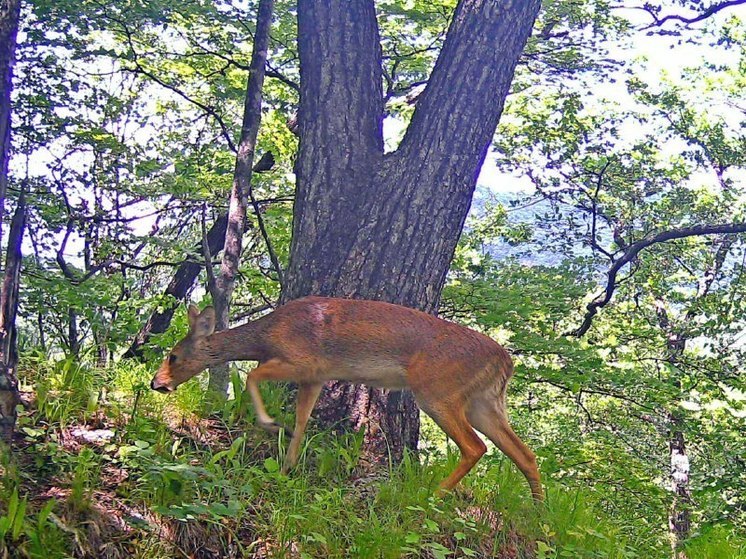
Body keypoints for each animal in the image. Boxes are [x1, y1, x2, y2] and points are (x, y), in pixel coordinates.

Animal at [151, 296, 544, 500]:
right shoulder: (315, 376)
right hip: (484, 402)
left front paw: (269, 424)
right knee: (524, 453)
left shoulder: (303, 361)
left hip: (438, 391)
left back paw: (434, 495)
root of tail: (506, 361)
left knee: (476, 447)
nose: (157, 383)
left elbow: (252, 376)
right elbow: (302, 419)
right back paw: (538, 510)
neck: (267, 335)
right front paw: (288, 465)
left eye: (173, 355)